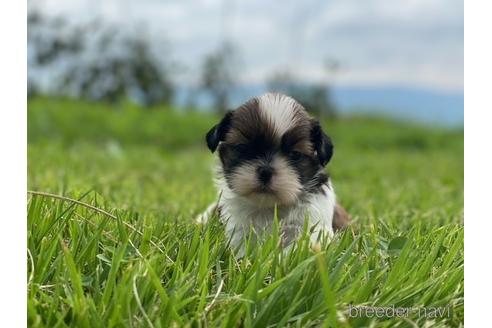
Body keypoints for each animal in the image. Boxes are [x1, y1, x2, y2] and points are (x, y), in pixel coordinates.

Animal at [198, 93, 348, 252]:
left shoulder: (315, 227)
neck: (271, 206)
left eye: (295, 154)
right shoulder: (238, 229)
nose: (265, 171)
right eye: (242, 148)